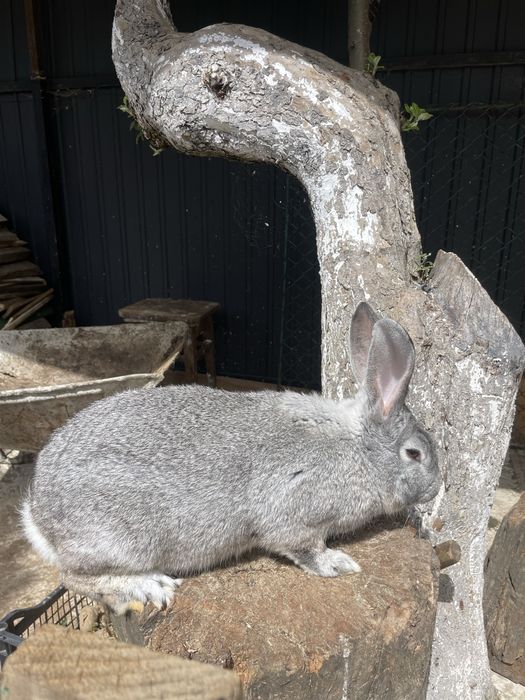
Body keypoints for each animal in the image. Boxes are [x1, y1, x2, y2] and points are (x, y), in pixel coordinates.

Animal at [22, 302, 441, 614]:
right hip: (122, 538)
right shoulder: (296, 515)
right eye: (414, 453)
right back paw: (149, 586)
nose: (436, 487)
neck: (359, 450)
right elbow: (306, 549)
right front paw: (338, 564)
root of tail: (37, 516)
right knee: (71, 578)